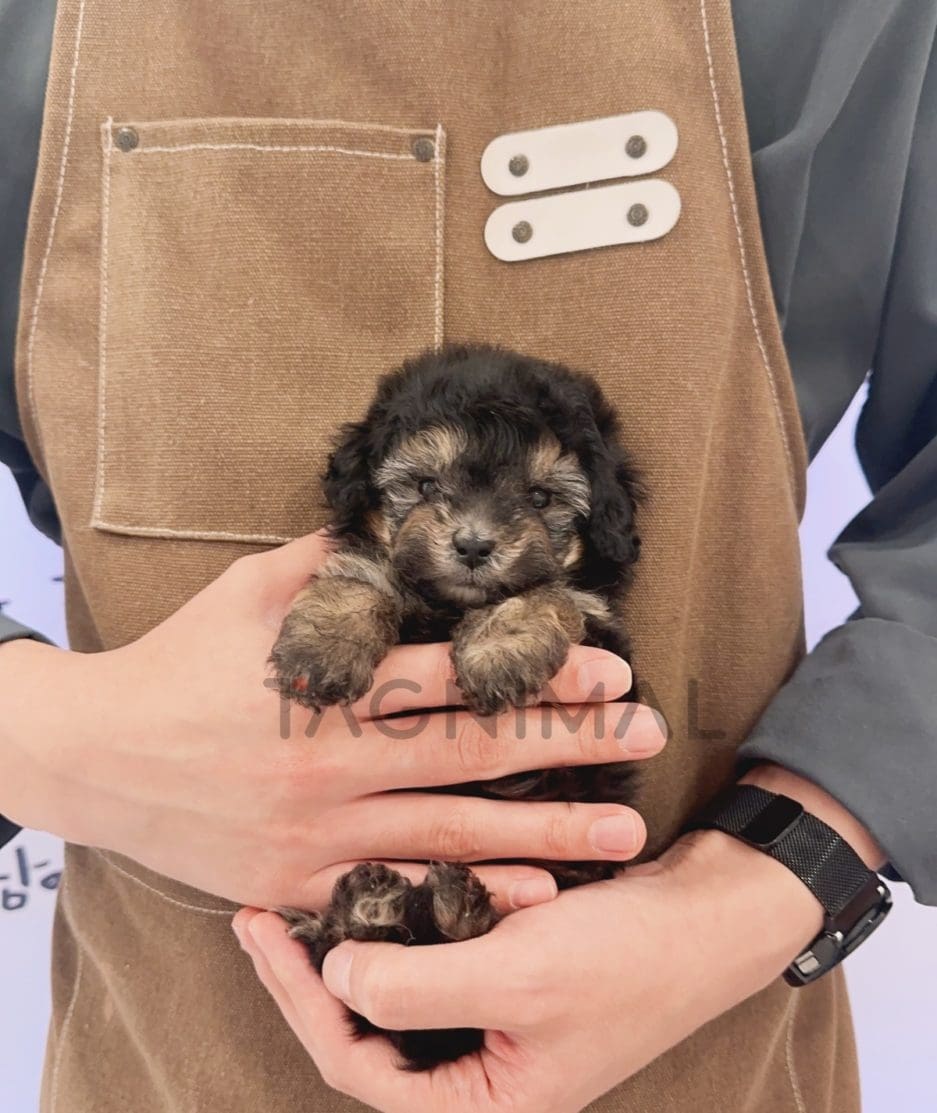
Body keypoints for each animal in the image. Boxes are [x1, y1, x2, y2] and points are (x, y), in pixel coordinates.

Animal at [270, 342, 643, 1070]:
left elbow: (550, 592)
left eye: (539, 497)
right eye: (423, 486)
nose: (472, 544)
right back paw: (374, 906)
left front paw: (501, 649)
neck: (449, 607)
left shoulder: (601, 634)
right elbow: (363, 572)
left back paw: (449, 909)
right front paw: (322, 646)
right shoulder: (381, 560)